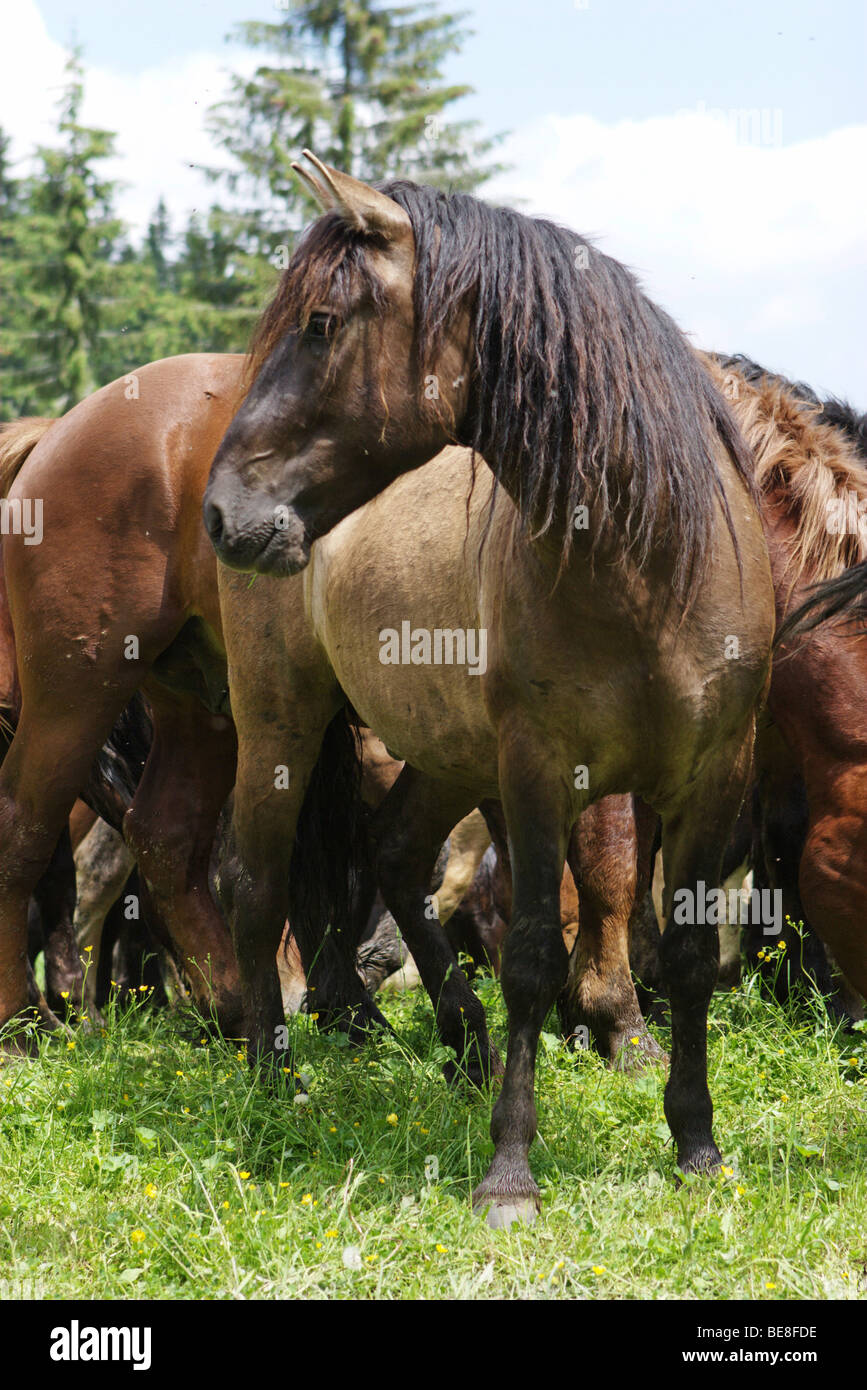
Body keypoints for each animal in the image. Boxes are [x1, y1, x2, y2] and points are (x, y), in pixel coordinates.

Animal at [202, 146, 772, 1223]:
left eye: (321, 323)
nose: (226, 513)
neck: (648, 565)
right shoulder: (539, 770)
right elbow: (534, 956)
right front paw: (511, 1172)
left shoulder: (713, 776)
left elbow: (682, 958)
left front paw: (697, 1145)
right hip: (280, 728)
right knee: (256, 888)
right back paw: (271, 1076)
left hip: (447, 754)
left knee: (394, 853)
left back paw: (460, 1040)